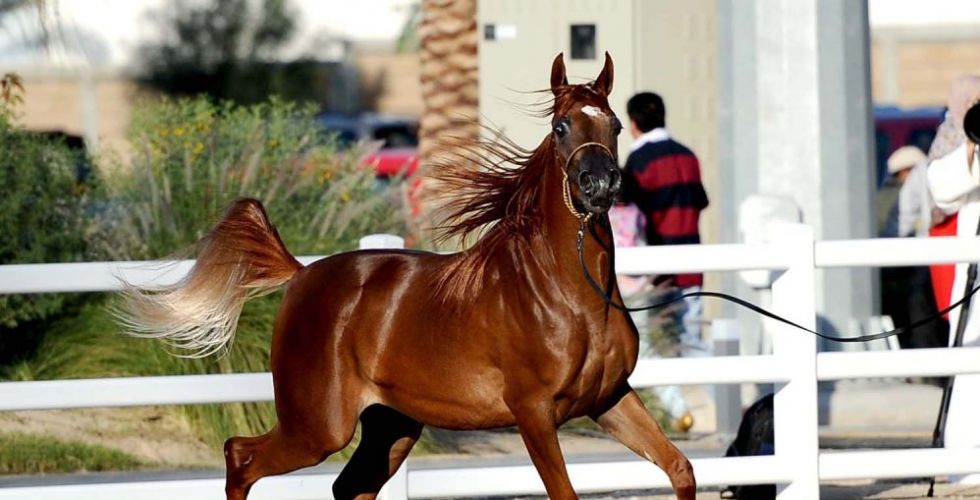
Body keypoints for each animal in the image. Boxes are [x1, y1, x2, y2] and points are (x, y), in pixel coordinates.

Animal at [117, 52, 696, 498]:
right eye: (561, 127)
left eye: (614, 126)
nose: (601, 184)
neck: (567, 295)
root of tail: (301, 275)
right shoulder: (534, 413)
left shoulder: (609, 398)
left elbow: (679, 468)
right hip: (319, 427)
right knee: (240, 457)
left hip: (389, 428)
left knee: (347, 487)